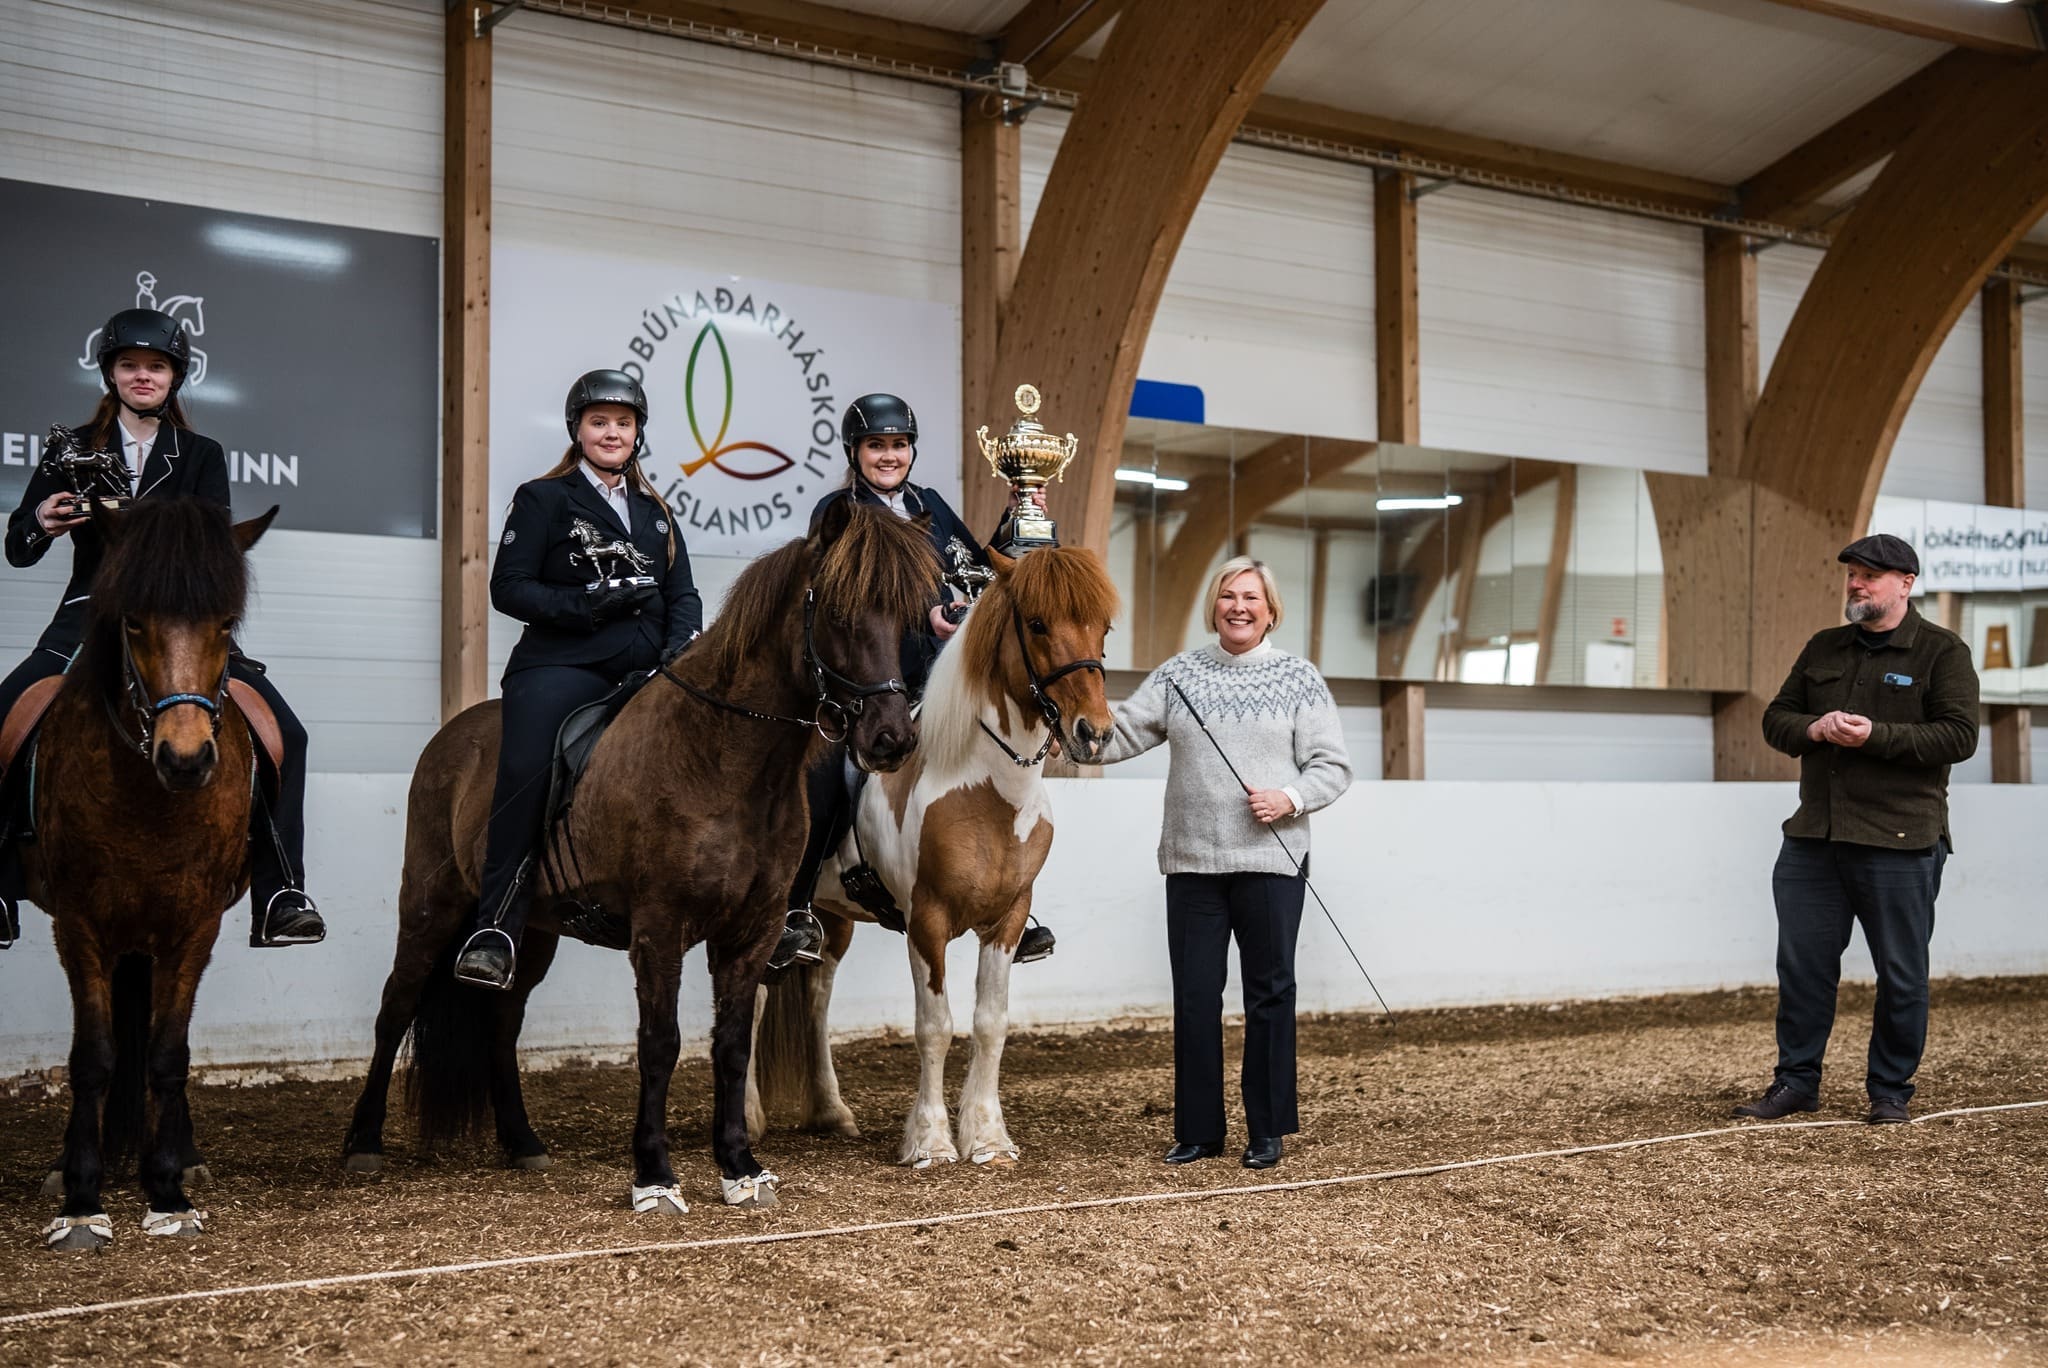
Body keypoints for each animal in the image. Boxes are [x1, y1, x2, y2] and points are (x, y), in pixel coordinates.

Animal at [17, 496, 278, 1250]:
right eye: (133, 621)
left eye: (226, 622)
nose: (186, 760)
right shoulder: (79, 923)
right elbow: (93, 1057)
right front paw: (81, 1197)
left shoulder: (195, 925)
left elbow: (168, 1054)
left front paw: (166, 1191)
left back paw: (183, 1160)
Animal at [341, 499, 939, 1213]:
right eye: (842, 614)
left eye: (907, 619)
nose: (891, 740)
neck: (723, 756)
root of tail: (451, 735)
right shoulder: (659, 926)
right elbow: (661, 1043)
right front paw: (654, 1176)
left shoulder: (754, 930)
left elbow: (731, 1045)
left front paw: (740, 1167)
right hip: (432, 906)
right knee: (395, 1007)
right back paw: (363, 1144)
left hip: (530, 929)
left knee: (502, 1021)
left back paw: (522, 1142)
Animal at [753, 544, 1118, 1168]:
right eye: (1037, 624)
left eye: (1103, 627)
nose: (1093, 734)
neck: (987, 788)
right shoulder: (927, 922)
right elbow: (935, 1026)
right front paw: (930, 1141)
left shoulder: (1008, 920)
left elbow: (991, 1023)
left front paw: (989, 1138)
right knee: (749, 996)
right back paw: (749, 1118)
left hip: (832, 918)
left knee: (817, 997)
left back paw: (831, 1112)